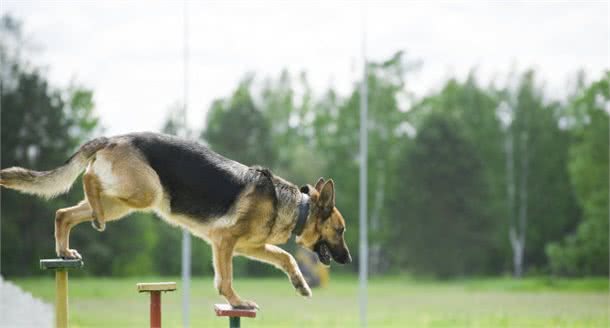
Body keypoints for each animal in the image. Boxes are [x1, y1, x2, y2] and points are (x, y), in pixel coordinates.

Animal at [0, 132, 352, 308]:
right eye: (340, 230)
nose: (348, 260)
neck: (297, 207)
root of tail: (114, 137)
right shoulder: (224, 243)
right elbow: (225, 280)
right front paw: (237, 303)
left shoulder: (248, 247)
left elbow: (285, 257)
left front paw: (301, 284)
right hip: (145, 192)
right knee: (87, 179)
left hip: (122, 203)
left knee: (64, 213)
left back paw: (65, 249)